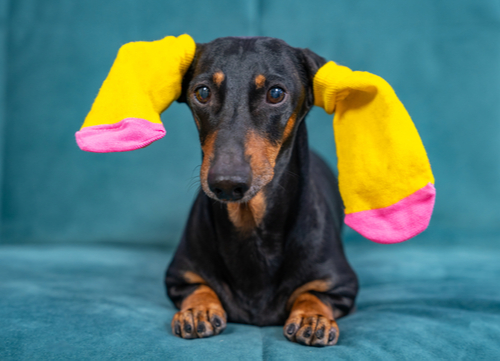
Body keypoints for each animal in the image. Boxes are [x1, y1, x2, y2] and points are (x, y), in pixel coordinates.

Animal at [165, 37, 360, 346]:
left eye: (276, 93)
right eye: (203, 92)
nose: (227, 183)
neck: (251, 224)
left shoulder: (341, 285)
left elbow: (312, 294)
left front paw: (312, 317)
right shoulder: (179, 276)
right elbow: (200, 288)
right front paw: (198, 311)